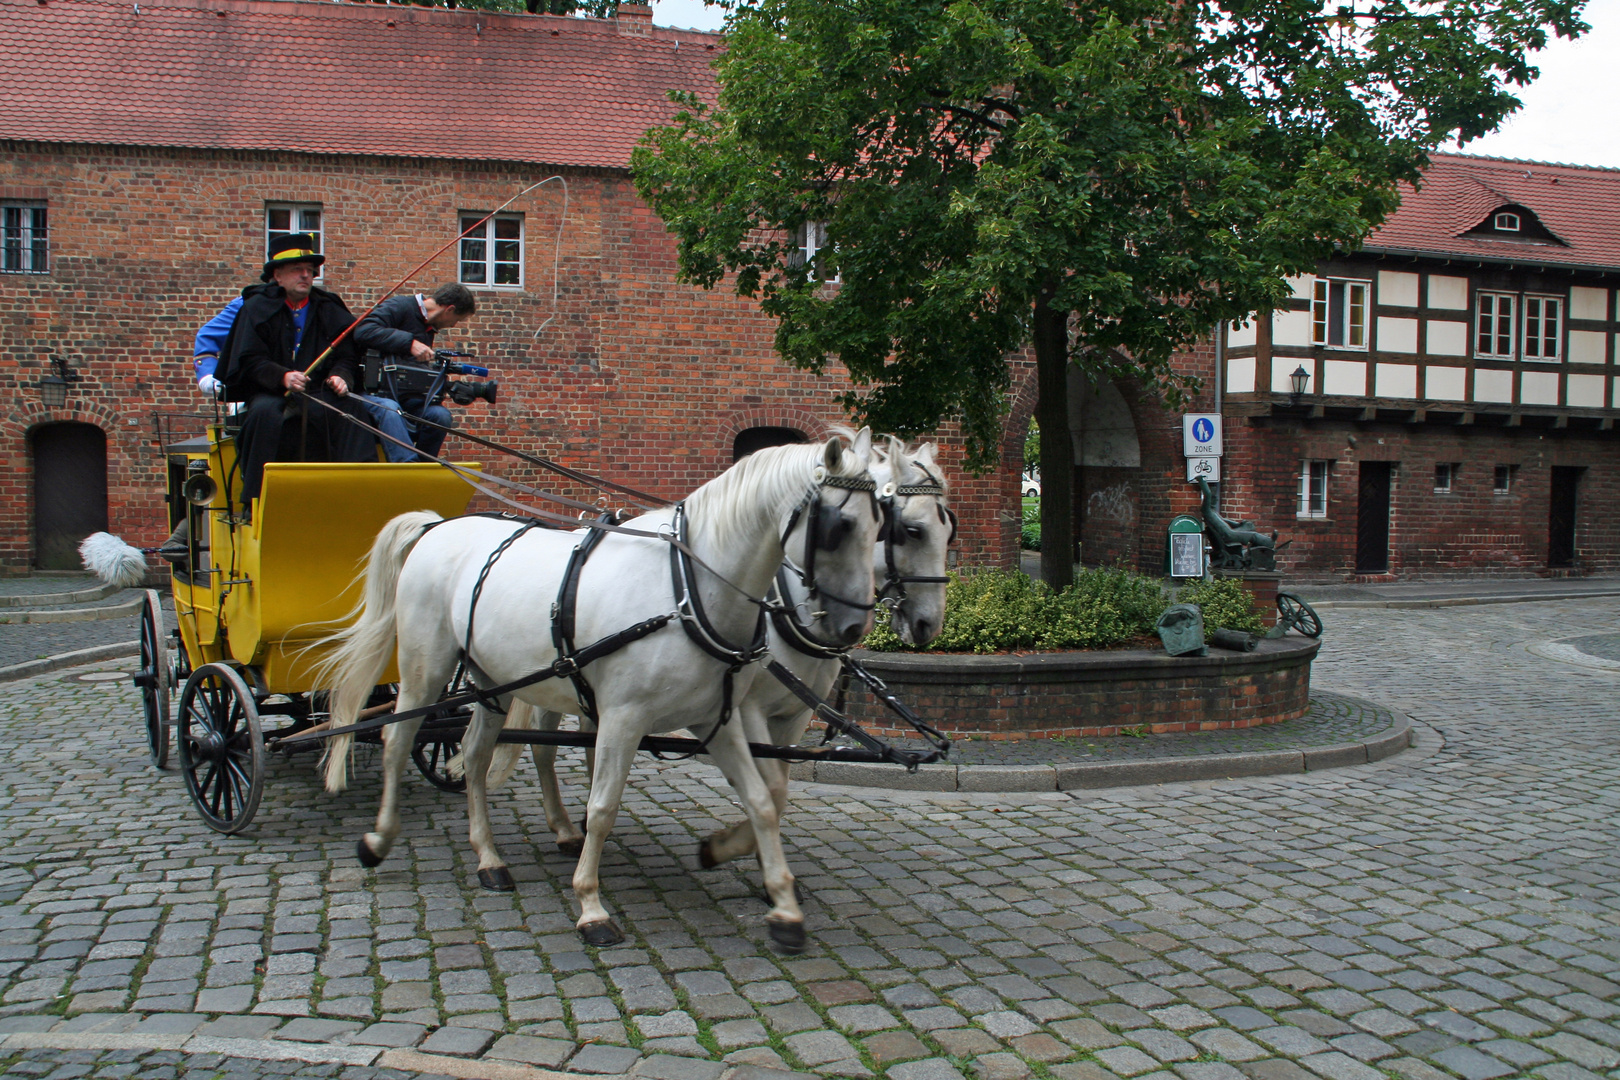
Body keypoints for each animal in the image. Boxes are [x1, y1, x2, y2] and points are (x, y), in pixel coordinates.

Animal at [311, 433, 881, 952]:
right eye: (840, 526)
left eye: (881, 523)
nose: (855, 628)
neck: (686, 590)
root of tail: (437, 526)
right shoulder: (624, 718)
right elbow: (603, 807)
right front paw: (590, 905)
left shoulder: (714, 719)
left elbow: (762, 800)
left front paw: (780, 903)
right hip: (425, 671)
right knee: (397, 742)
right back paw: (380, 838)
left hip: (491, 680)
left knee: (473, 756)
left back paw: (489, 858)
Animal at [492, 440, 946, 867]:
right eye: (910, 530)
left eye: (948, 530)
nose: (930, 624)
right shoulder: (747, 709)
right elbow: (771, 787)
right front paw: (730, 848)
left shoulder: (795, 714)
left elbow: (778, 788)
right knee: (544, 747)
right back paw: (564, 829)